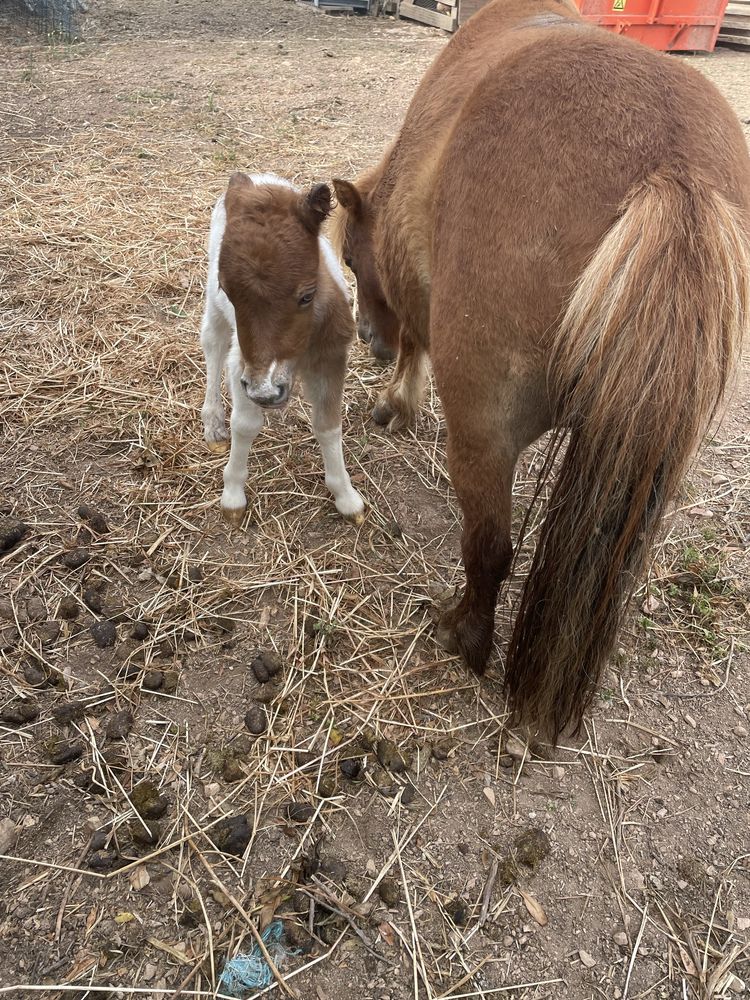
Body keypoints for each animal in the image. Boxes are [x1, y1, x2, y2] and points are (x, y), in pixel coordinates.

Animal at [200, 174, 364, 524]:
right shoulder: (243, 364)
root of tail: (255, 179)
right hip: (213, 307)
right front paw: (232, 496)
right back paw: (213, 423)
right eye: (229, 292)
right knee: (213, 343)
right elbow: (245, 425)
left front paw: (347, 498)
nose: (265, 393)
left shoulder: (332, 357)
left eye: (307, 295)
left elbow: (328, 426)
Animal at [334, 0, 750, 740]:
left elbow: (416, 338)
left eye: (353, 259)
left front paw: (397, 399)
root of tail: (674, 169)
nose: (370, 345)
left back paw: (463, 634)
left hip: (484, 431)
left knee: (490, 548)